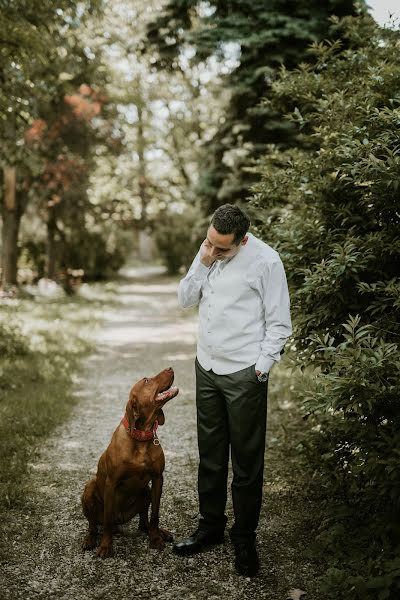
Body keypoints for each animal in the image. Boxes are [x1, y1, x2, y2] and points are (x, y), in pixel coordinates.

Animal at [82, 366, 179, 556]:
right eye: (147, 380)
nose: (170, 367)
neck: (141, 437)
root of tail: (121, 521)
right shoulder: (111, 483)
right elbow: (107, 521)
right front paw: (106, 546)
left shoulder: (158, 478)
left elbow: (155, 514)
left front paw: (155, 539)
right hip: (89, 489)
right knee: (94, 524)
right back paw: (90, 539)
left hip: (146, 491)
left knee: (143, 523)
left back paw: (159, 532)